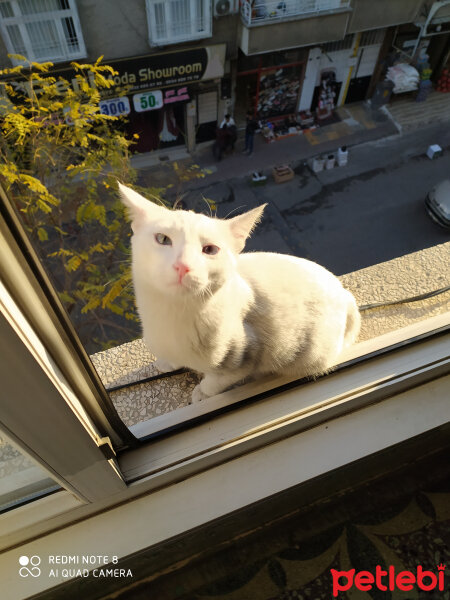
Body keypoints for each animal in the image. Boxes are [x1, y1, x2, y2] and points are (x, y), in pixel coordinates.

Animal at [118, 183, 360, 404]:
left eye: (210, 250)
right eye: (162, 239)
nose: (183, 266)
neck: (173, 314)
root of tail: (343, 293)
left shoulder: (242, 358)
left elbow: (216, 381)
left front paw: (201, 393)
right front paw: (167, 362)